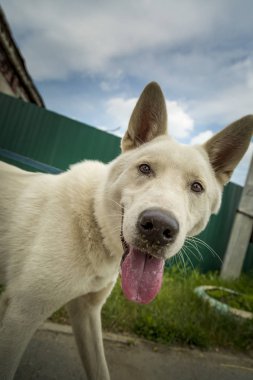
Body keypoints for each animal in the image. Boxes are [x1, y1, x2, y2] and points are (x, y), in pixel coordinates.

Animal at [0, 81, 252, 378]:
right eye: (145, 168)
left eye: (196, 187)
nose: (158, 227)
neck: (94, 222)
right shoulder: (21, 314)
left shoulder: (87, 312)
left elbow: (99, 368)